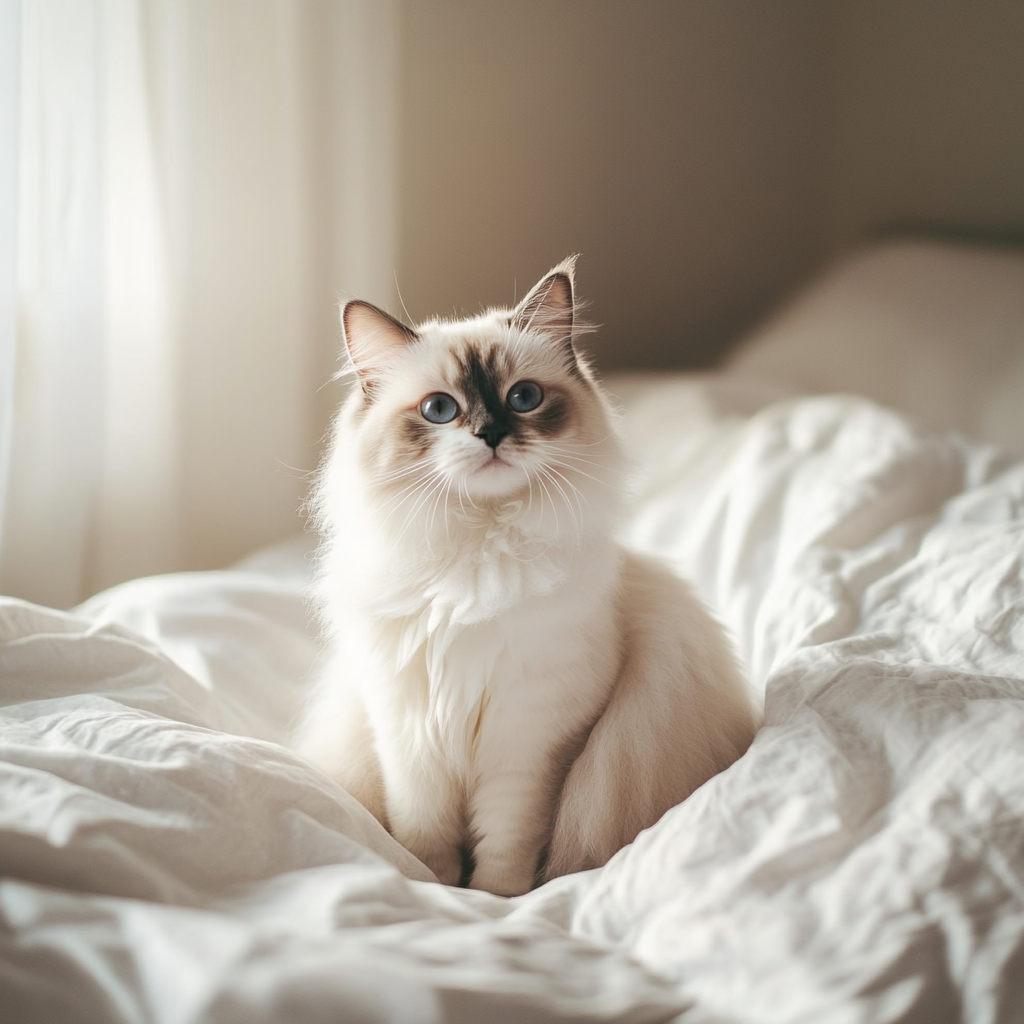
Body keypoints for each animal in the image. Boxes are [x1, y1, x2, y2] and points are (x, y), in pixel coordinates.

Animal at [296, 258, 761, 897]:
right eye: (439, 410)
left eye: (524, 398)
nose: (491, 434)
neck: (476, 563)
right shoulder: (408, 732)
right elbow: (426, 835)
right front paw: (436, 888)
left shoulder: (531, 740)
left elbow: (506, 842)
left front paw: (490, 900)